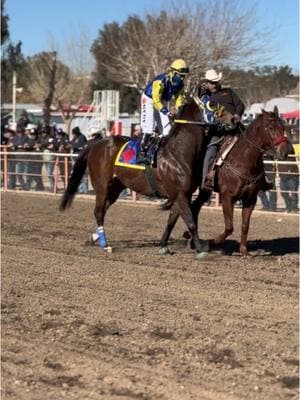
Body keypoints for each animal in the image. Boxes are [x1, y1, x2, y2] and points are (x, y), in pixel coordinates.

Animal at [59, 97, 232, 260]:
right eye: (212, 103)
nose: (233, 118)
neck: (178, 151)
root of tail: (96, 143)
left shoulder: (183, 194)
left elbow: (172, 220)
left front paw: (163, 246)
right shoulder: (179, 194)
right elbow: (190, 222)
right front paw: (201, 249)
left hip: (116, 187)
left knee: (104, 208)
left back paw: (95, 237)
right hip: (102, 185)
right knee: (98, 211)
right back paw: (104, 243)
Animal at [188, 107, 288, 256]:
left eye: (283, 127)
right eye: (270, 127)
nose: (285, 152)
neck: (244, 160)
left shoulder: (250, 199)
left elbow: (245, 225)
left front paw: (244, 251)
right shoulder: (227, 198)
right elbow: (229, 227)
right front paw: (211, 243)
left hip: (204, 191)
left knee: (194, 207)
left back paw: (190, 240)